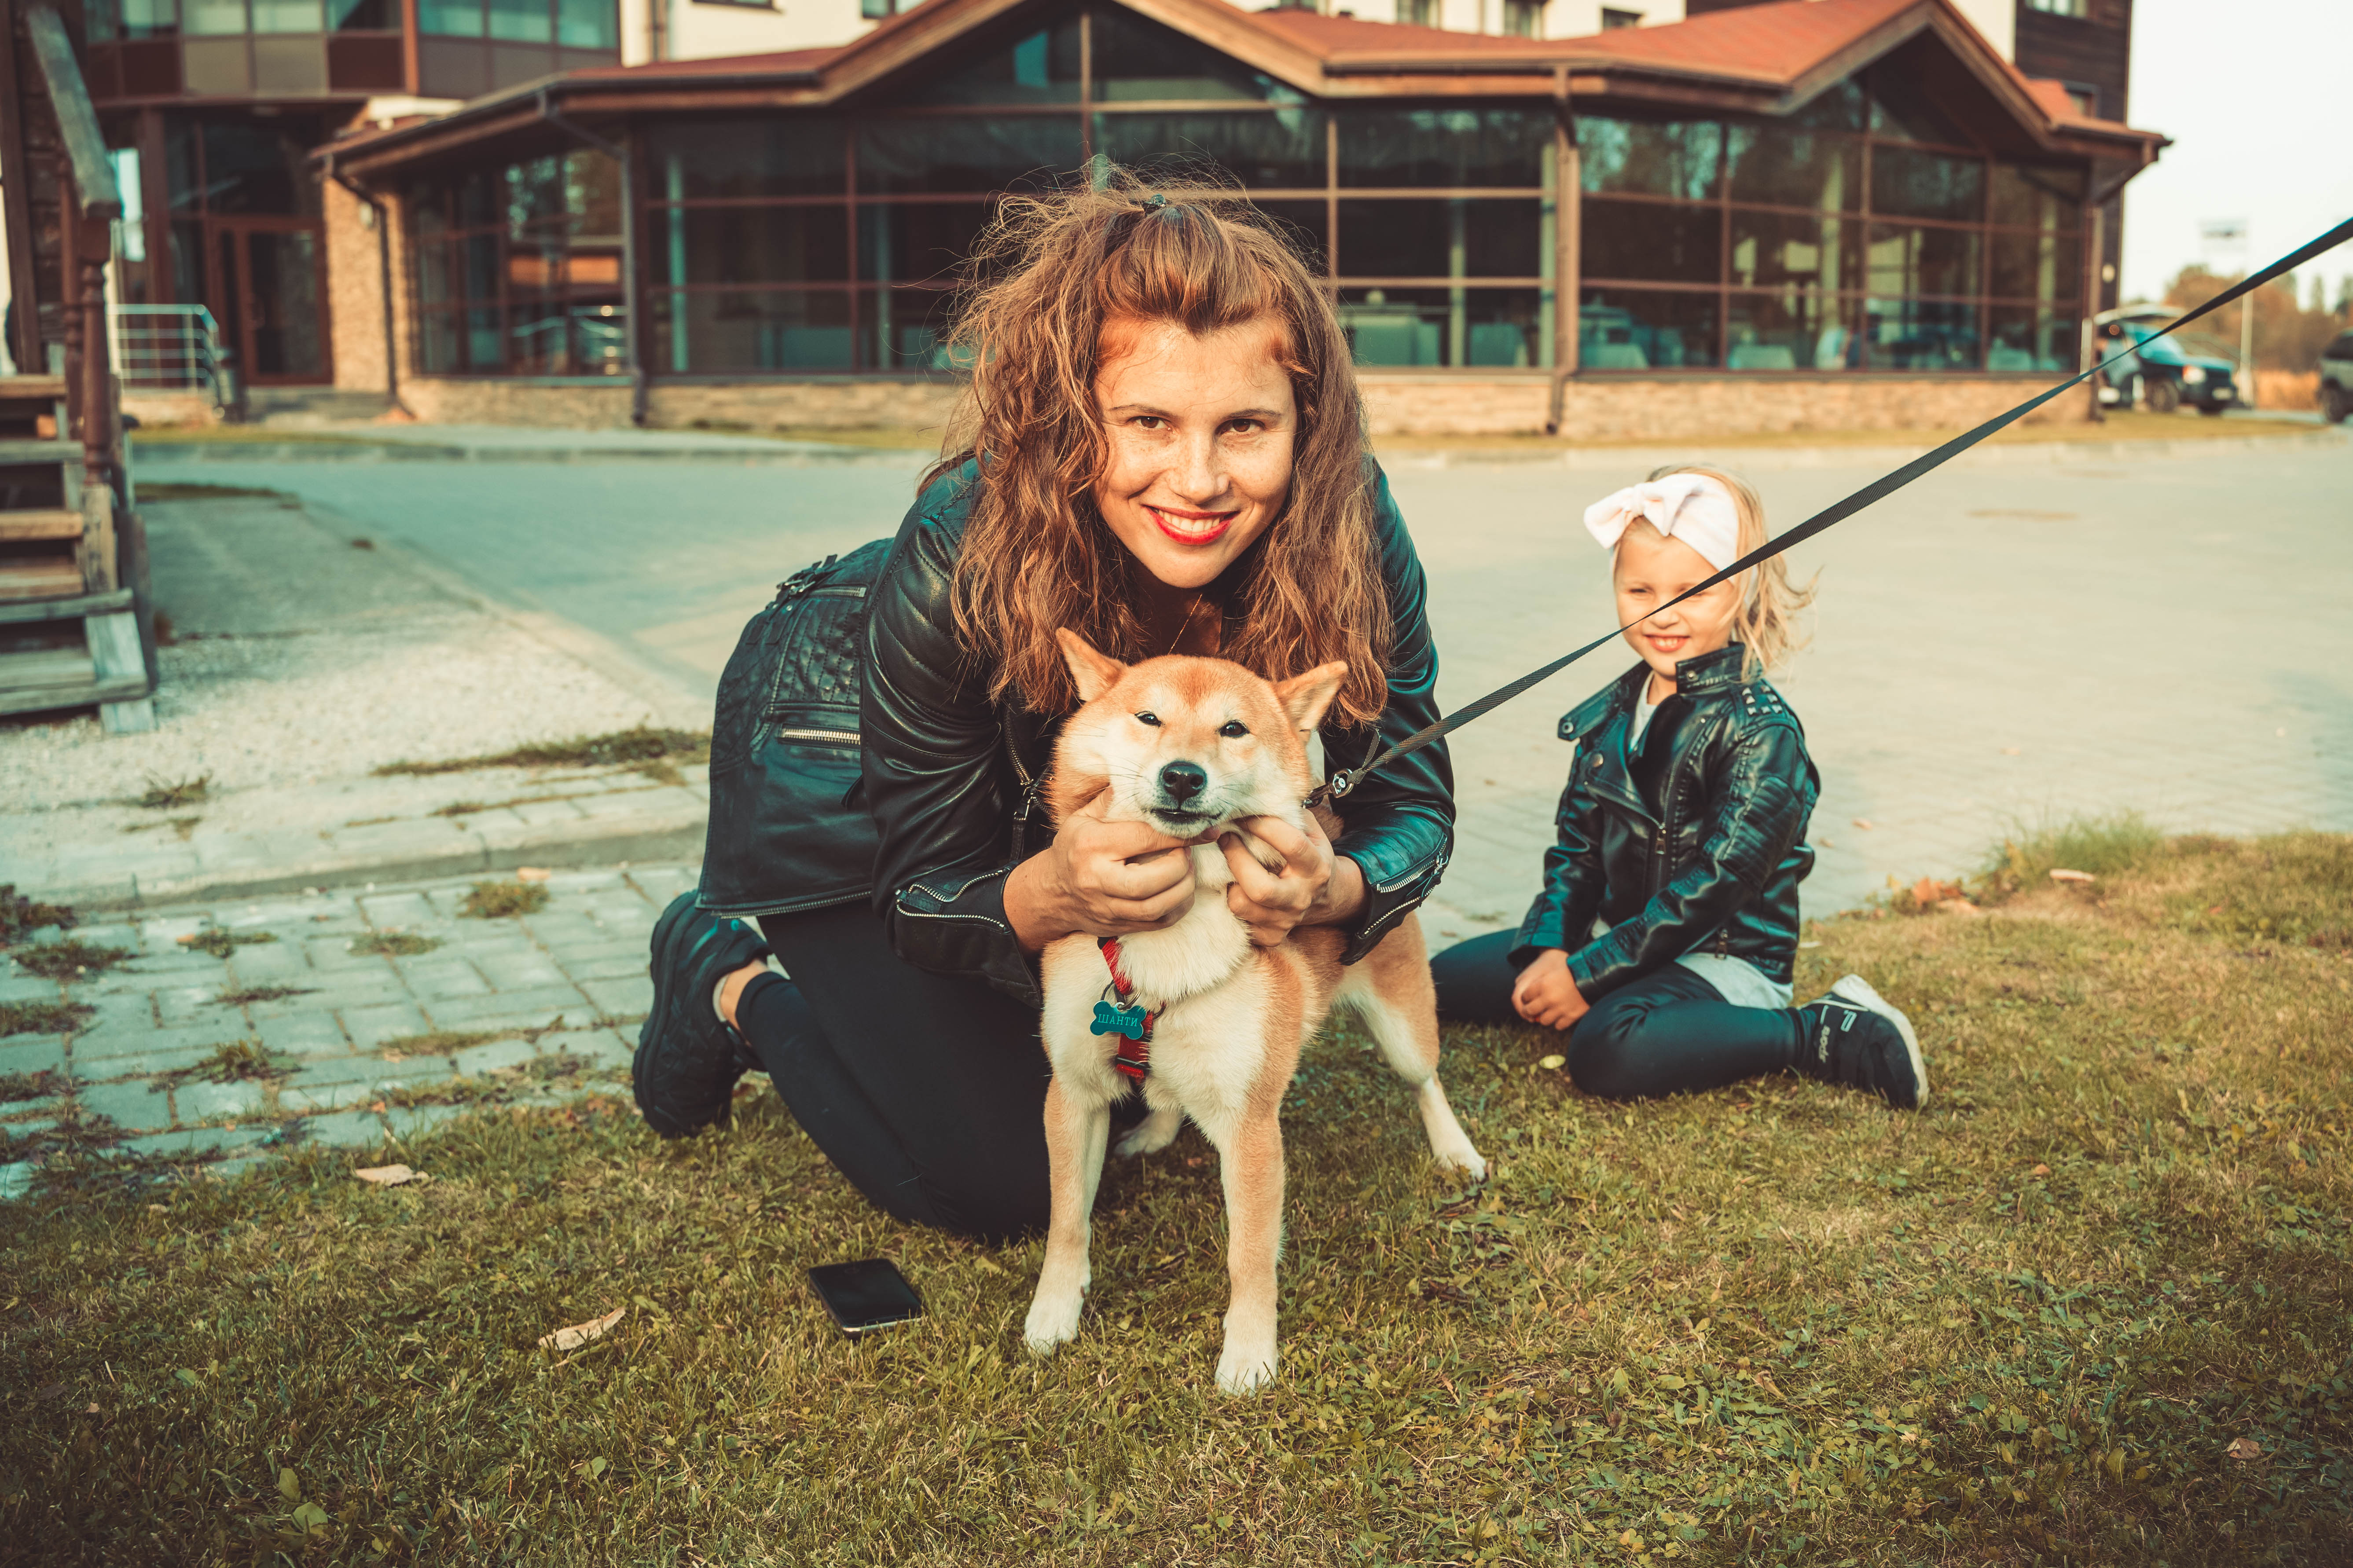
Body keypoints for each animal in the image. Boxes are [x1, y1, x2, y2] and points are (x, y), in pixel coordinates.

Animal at [1021, 630, 1486, 1395]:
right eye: (1148, 718)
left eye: (1232, 729)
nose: (1182, 777)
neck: (1170, 936)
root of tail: (1333, 808)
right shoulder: (1073, 1095)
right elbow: (1065, 1219)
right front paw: (1053, 1313)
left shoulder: (1251, 1129)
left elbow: (1249, 1255)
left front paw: (1247, 1355)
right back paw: (1157, 1127)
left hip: (1402, 1029)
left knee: (1425, 1082)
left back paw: (1455, 1150)